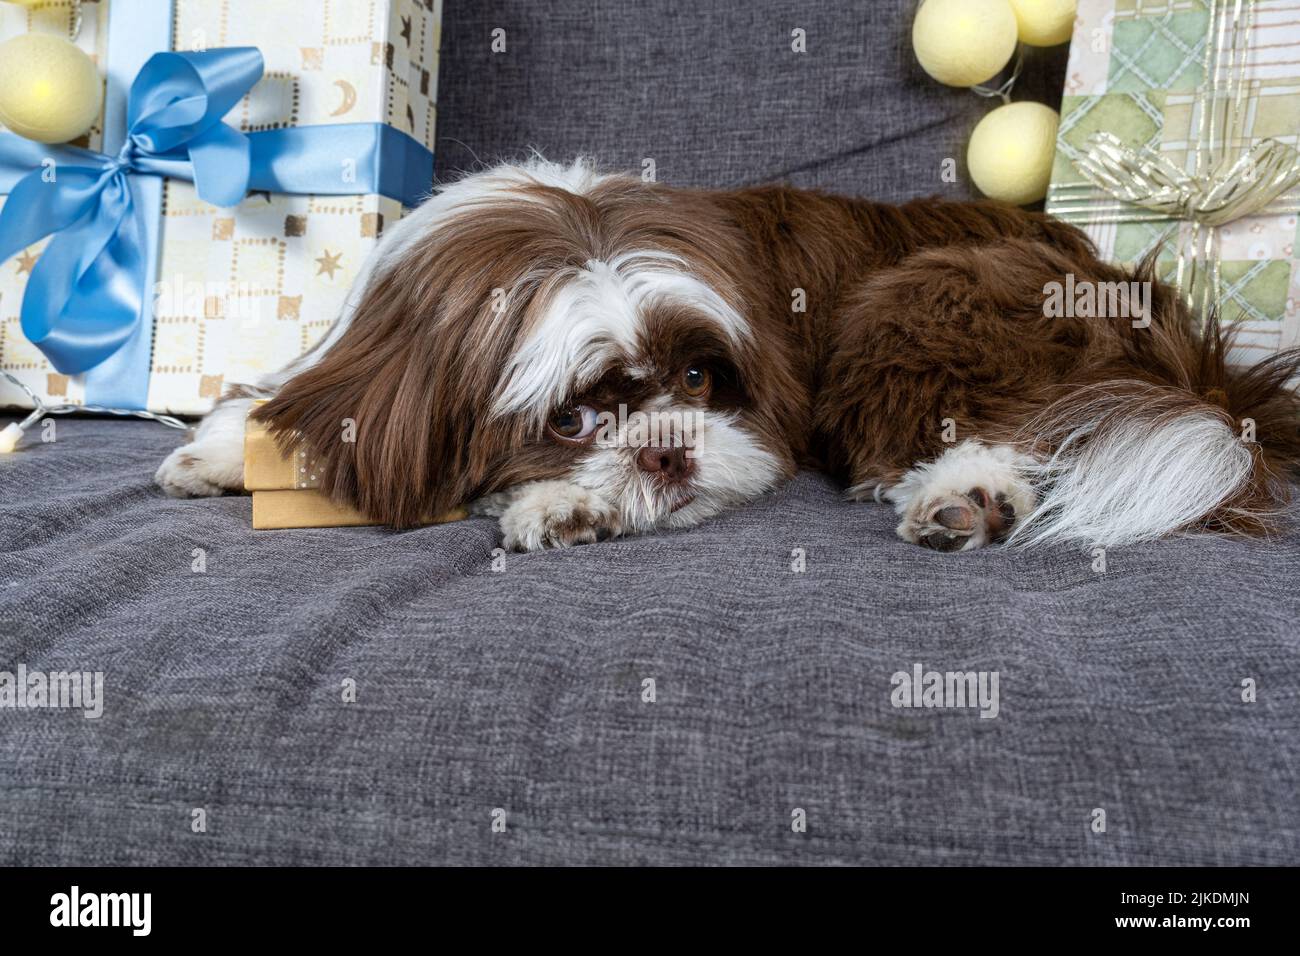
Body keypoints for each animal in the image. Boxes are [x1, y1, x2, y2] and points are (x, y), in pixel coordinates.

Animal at [154, 158, 1300, 554]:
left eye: (700, 381)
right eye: (571, 416)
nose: (668, 449)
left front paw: (566, 504)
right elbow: (282, 403)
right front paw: (219, 446)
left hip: (915, 301)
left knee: (1025, 427)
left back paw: (966, 493)